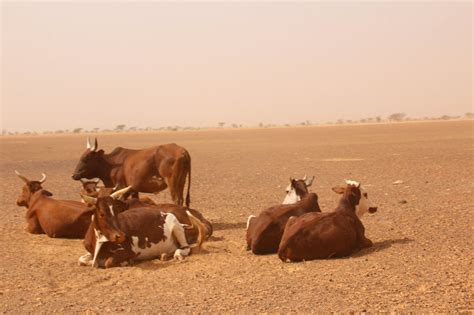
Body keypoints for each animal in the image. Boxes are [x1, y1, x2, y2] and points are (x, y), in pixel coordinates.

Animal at [78, 188, 206, 270]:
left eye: (116, 211)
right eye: (102, 214)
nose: (120, 236)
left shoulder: (130, 251)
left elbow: (108, 262)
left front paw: (125, 262)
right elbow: (81, 260)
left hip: (176, 225)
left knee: (185, 248)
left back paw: (177, 254)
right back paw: (163, 255)